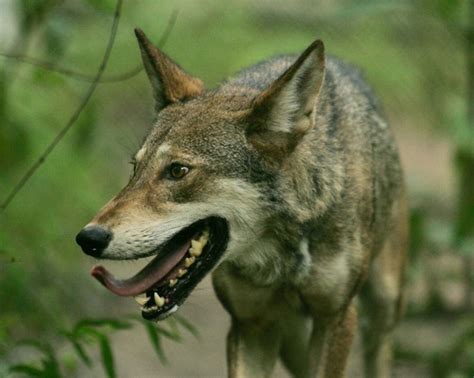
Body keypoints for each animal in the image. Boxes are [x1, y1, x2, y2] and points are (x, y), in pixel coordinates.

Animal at [75, 28, 408, 376]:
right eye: (135, 168)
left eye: (178, 171)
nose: (88, 237)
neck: (283, 252)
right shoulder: (250, 325)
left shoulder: (336, 318)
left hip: (383, 306)